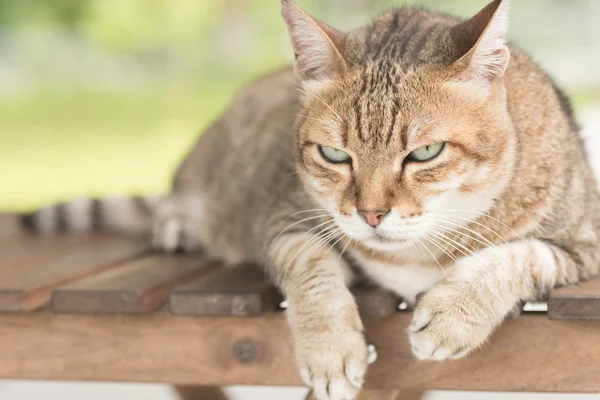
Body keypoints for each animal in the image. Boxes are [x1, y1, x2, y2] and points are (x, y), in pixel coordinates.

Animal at [19, 0, 600, 400]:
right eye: (334, 154)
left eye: (425, 152)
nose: (371, 213)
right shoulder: (283, 218)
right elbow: (309, 264)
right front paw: (329, 350)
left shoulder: (583, 245)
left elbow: (518, 255)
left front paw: (455, 314)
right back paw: (178, 224)